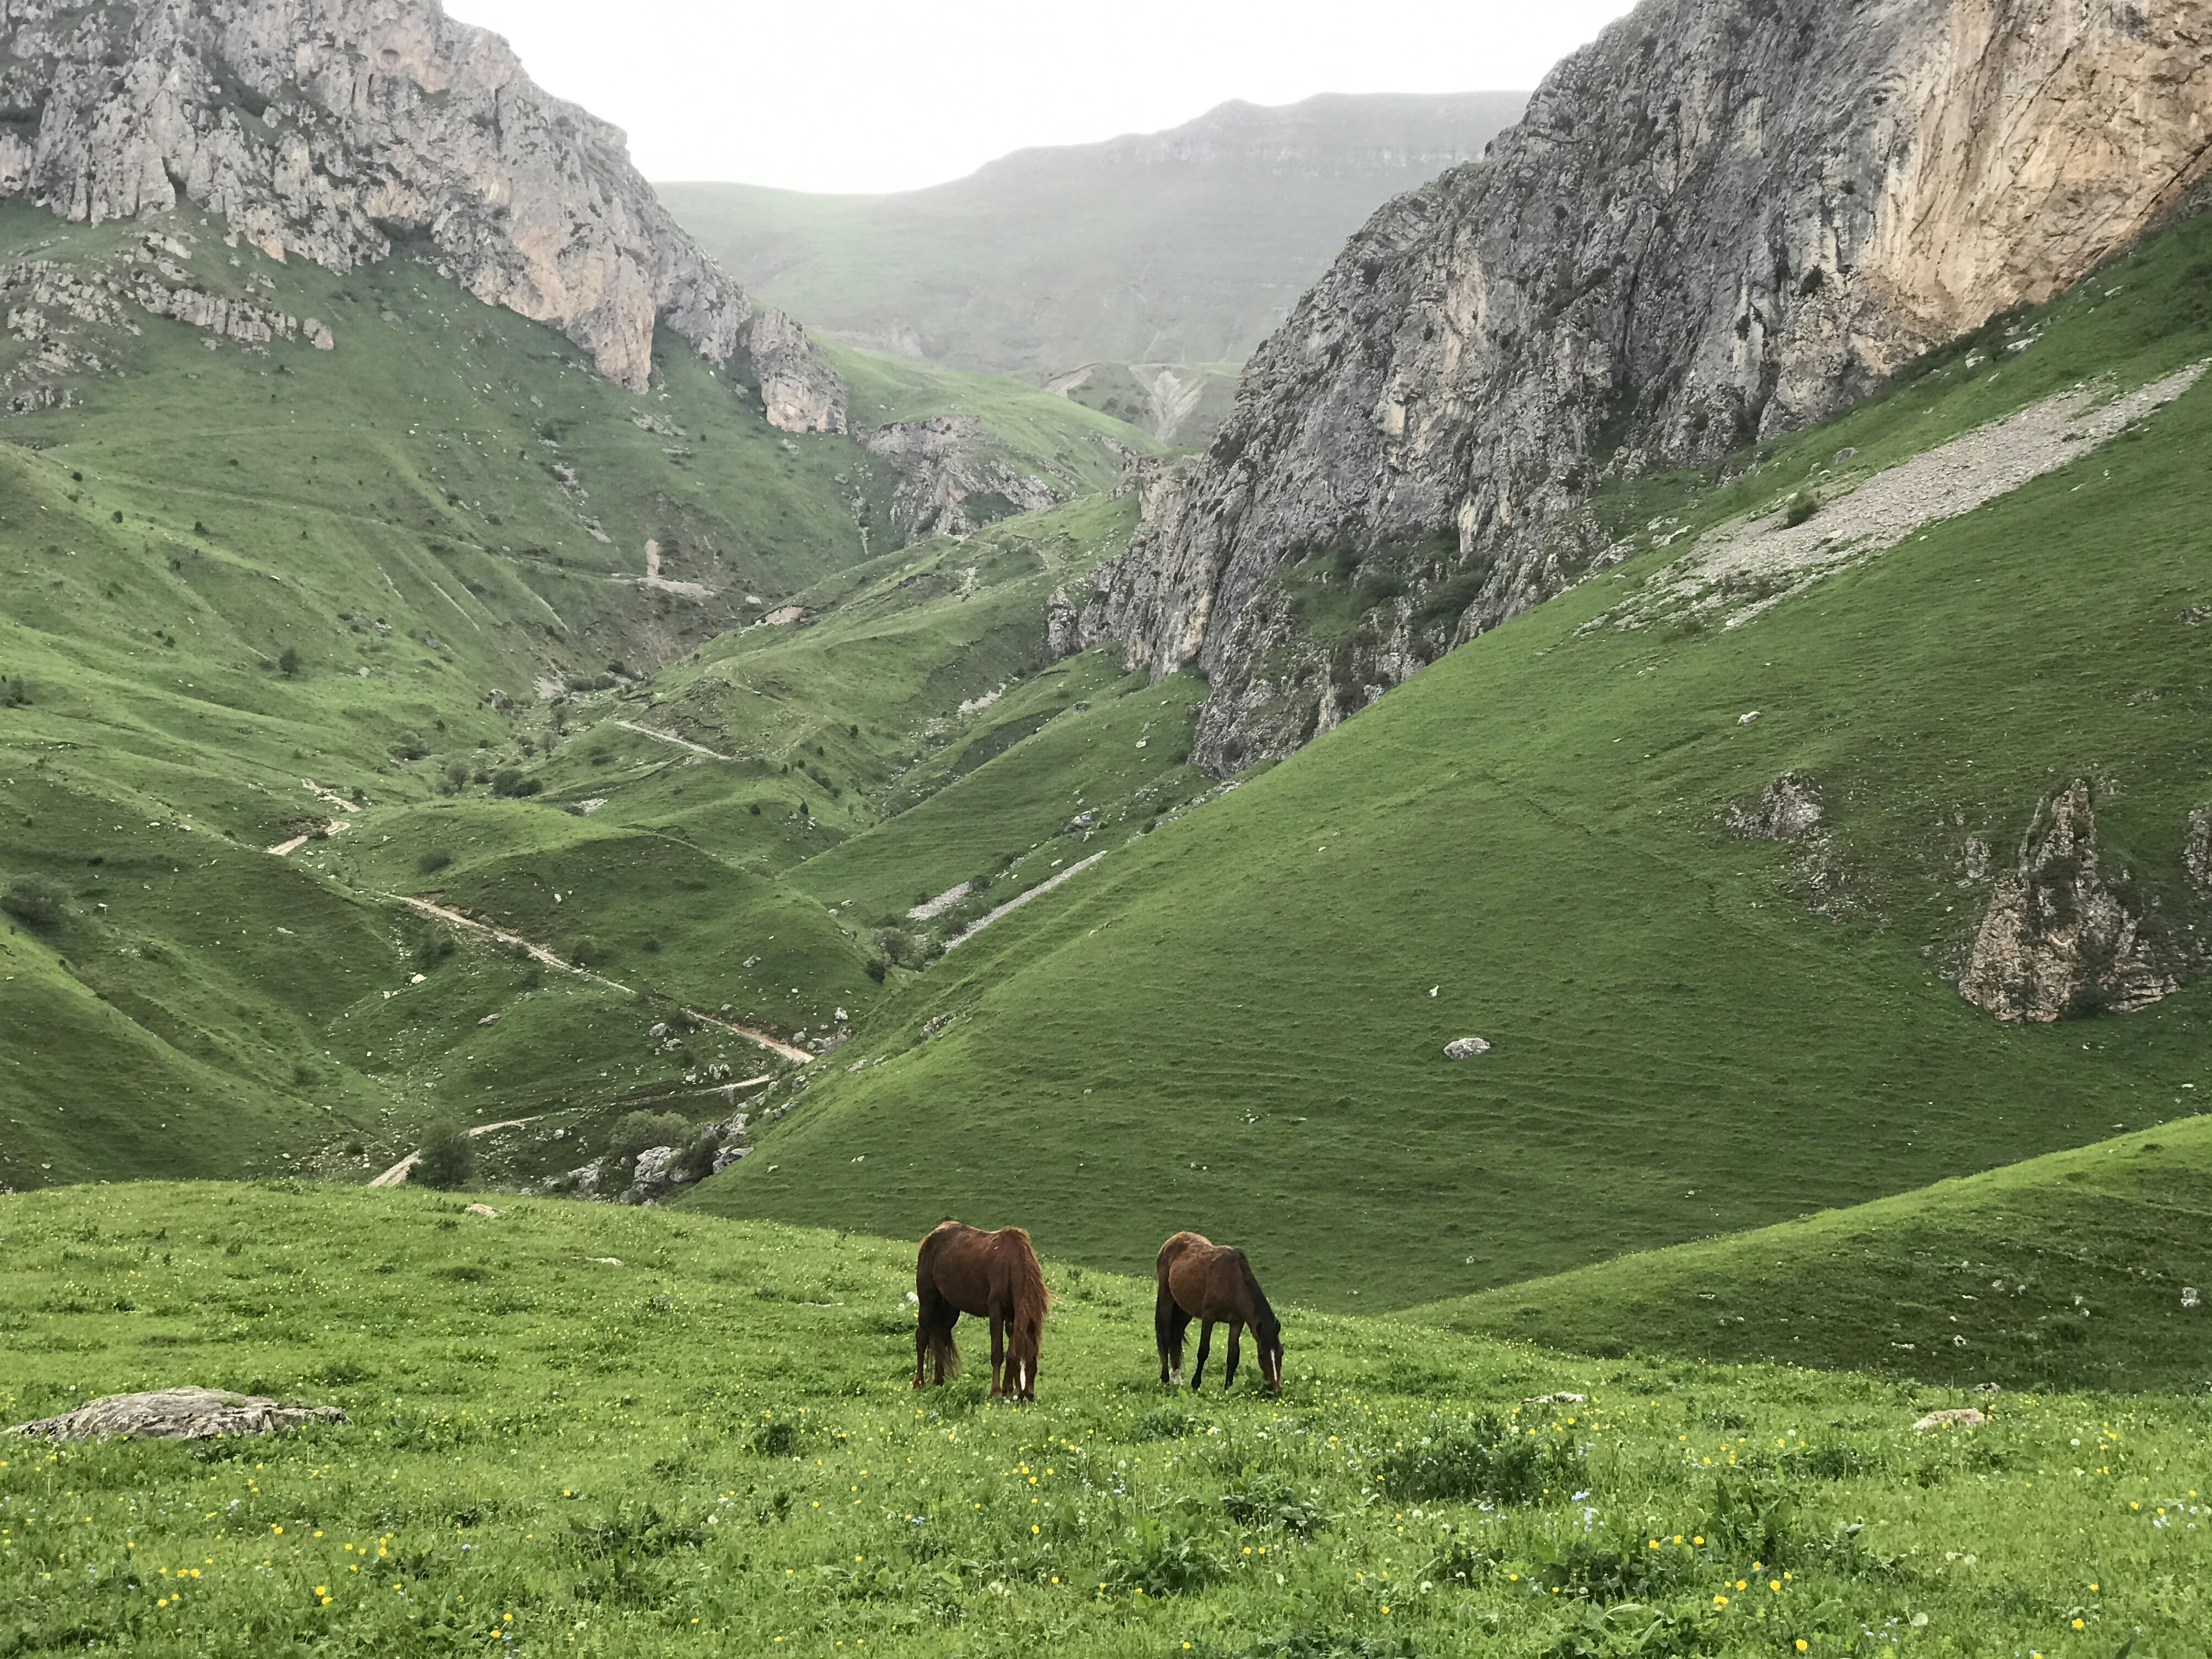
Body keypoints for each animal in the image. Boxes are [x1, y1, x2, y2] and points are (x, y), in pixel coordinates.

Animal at [913, 1220, 1051, 1400]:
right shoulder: (997, 1311)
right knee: (922, 1338)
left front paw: (1007, 1388)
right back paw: (919, 1383)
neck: (1011, 1264)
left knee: (940, 1339)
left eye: (1033, 1357)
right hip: (927, 1303)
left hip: (950, 1309)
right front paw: (996, 1391)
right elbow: (997, 1353)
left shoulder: (1014, 1316)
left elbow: (1009, 1353)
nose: (1025, 1395)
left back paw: (939, 1380)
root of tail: (932, 1235)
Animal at [1155, 1231, 1284, 1391]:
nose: (1277, 1389)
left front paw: (1228, 1387)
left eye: (1281, 1353)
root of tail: (1172, 1240)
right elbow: (1203, 1351)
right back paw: (1166, 1378)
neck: (1232, 1283)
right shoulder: (1208, 1318)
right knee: (1166, 1336)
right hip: (1167, 1298)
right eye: (1262, 1355)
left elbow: (1233, 1356)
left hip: (1185, 1309)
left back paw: (1177, 1378)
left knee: (1176, 1334)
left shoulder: (1237, 1323)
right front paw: (1196, 1384)